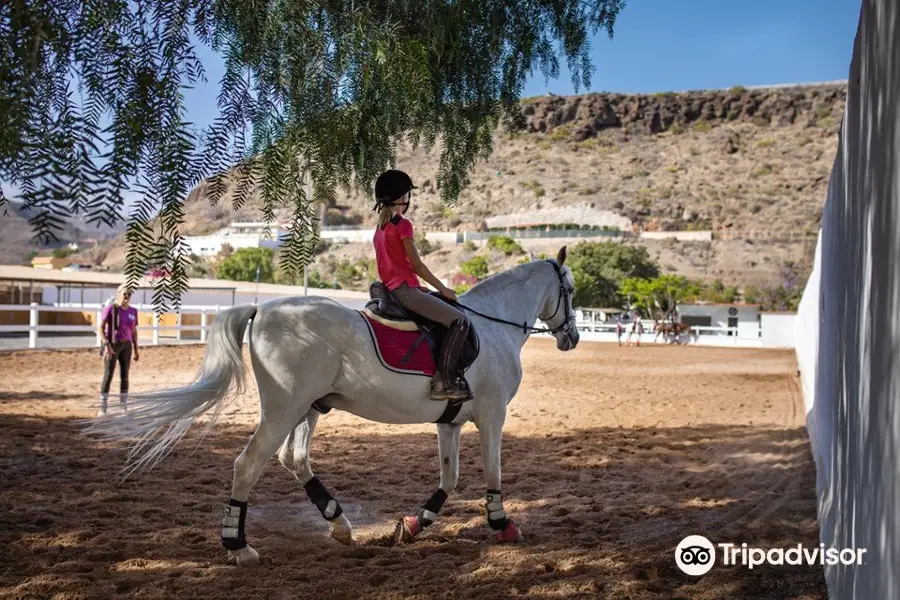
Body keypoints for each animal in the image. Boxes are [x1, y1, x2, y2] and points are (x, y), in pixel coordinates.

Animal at [88, 246, 580, 564]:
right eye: (570, 289)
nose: (572, 338)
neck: (493, 325)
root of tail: (262, 310)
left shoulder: (451, 422)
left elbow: (450, 477)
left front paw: (413, 525)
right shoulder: (493, 416)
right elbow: (493, 473)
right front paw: (503, 525)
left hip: (309, 408)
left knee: (294, 458)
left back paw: (339, 524)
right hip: (284, 408)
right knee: (249, 463)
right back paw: (239, 546)